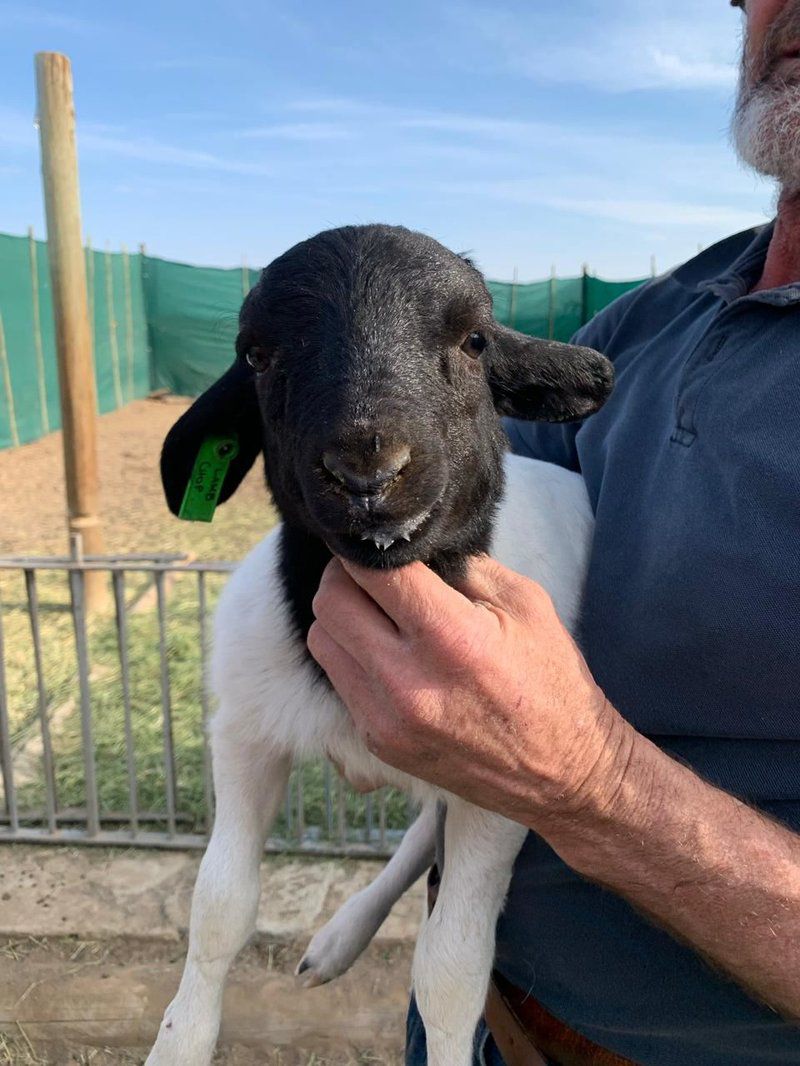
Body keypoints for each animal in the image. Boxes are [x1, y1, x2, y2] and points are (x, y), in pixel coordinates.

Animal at [149, 222, 614, 1066]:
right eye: (257, 354)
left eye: (475, 340)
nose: (368, 468)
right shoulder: (243, 735)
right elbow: (220, 905)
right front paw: (179, 1041)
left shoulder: (505, 787)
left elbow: (452, 969)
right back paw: (338, 938)